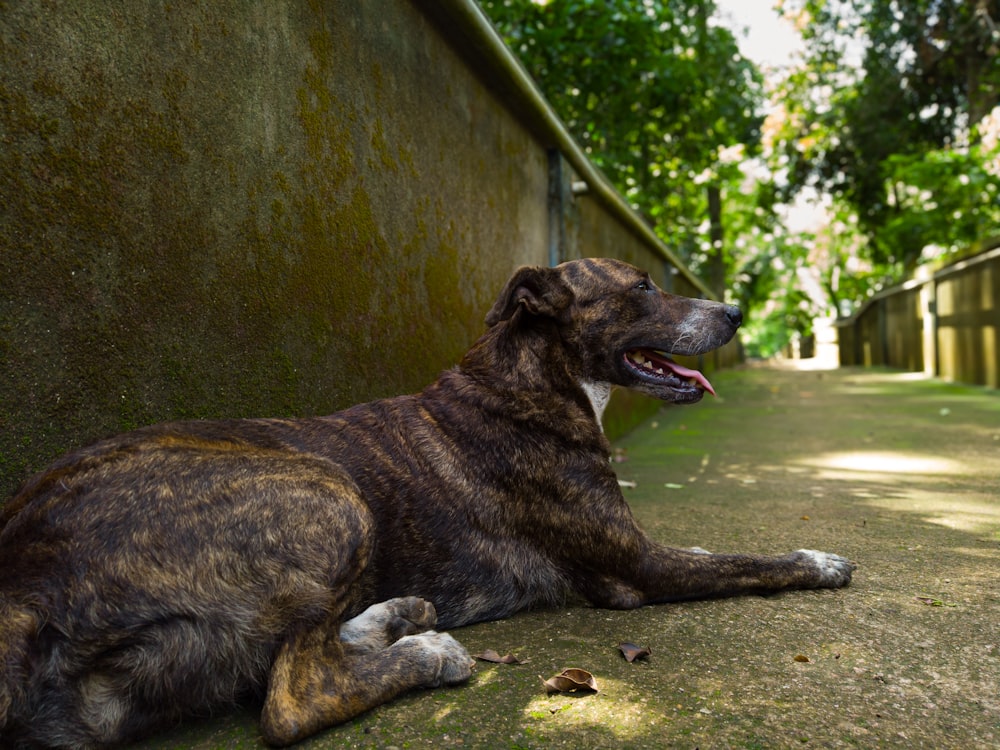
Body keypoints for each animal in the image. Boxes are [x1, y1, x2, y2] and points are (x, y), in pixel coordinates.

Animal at [0, 258, 852, 748]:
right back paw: (425, 654)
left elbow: (712, 550)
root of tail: (24, 592)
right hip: (327, 491)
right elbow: (753, 560)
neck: (531, 380)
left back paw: (393, 619)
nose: (735, 314)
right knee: (292, 698)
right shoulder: (634, 566)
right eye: (642, 288)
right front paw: (821, 560)